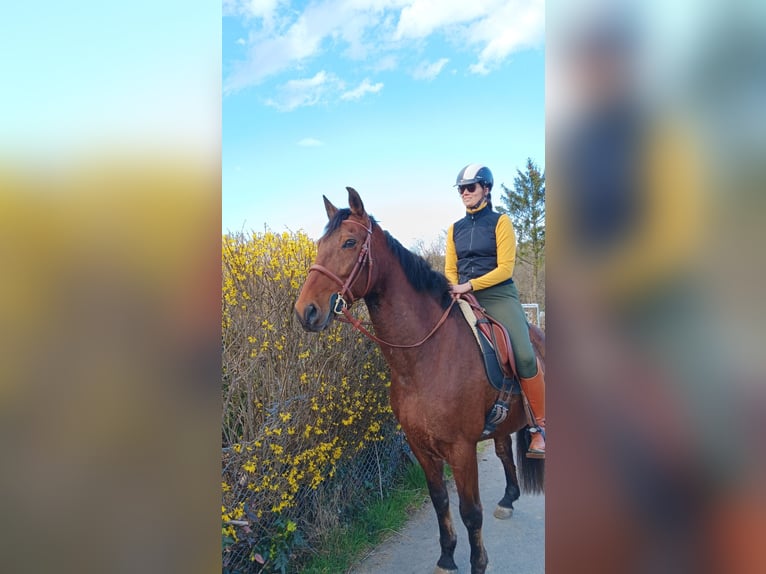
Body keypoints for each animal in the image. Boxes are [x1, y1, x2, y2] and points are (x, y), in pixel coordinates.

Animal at [294, 187, 545, 574]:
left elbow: (470, 512)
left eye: (349, 242)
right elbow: (441, 501)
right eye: (321, 244)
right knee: (505, 452)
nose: (305, 311)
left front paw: (477, 563)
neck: (426, 356)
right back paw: (508, 499)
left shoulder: (461, 449)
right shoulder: (420, 446)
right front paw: (446, 557)